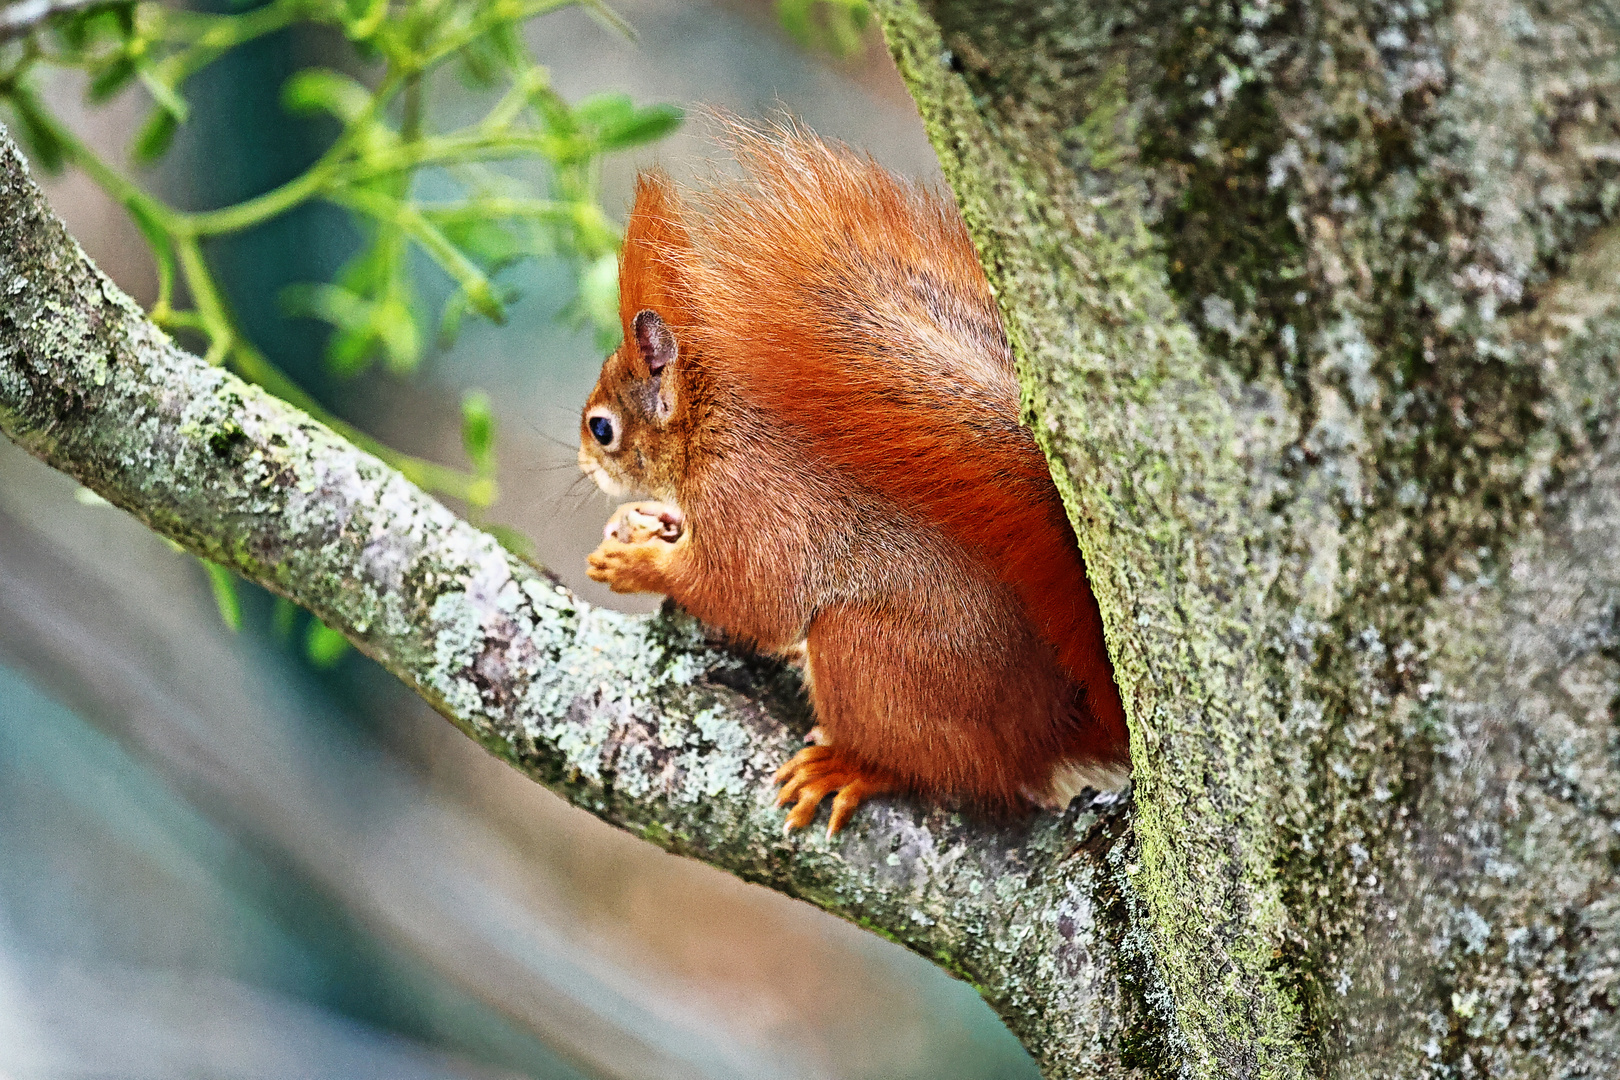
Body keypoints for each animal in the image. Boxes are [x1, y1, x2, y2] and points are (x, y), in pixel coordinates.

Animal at [579, 127, 1127, 835]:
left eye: (603, 429)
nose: (583, 460)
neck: (712, 427)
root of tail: (1052, 728)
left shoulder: (751, 504)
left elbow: (747, 596)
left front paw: (636, 564)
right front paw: (649, 522)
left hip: (870, 654)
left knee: (950, 772)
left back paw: (853, 766)